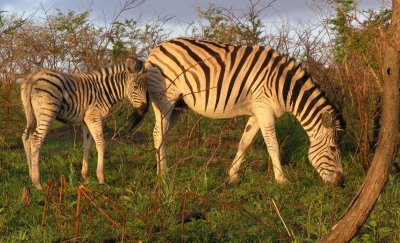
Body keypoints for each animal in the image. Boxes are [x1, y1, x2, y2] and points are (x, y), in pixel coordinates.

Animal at [20, 57, 148, 190]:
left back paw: (31, 175)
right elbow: (101, 143)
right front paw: (101, 177)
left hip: (31, 115)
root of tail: (33, 77)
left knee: (26, 137)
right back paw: (37, 182)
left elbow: (87, 144)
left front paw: (85, 177)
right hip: (47, 113)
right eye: (135, 86)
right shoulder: (94, 116)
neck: (105, 90)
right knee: (36, 139)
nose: (144, 109)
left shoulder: (85, 120)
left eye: (147, 87)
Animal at [145, 38, 346, 186]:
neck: (284, 88)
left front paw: (233, 176)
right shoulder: (265, 109)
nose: (341, 182)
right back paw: (163, 175)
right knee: (157, 133)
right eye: (333, 148)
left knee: (163, 134)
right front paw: (282, 179)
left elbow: (245, 142)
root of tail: (156, 48)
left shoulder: (257, 112)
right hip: (165, 100)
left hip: (178, 105)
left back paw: (163, 168)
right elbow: (273, 145)